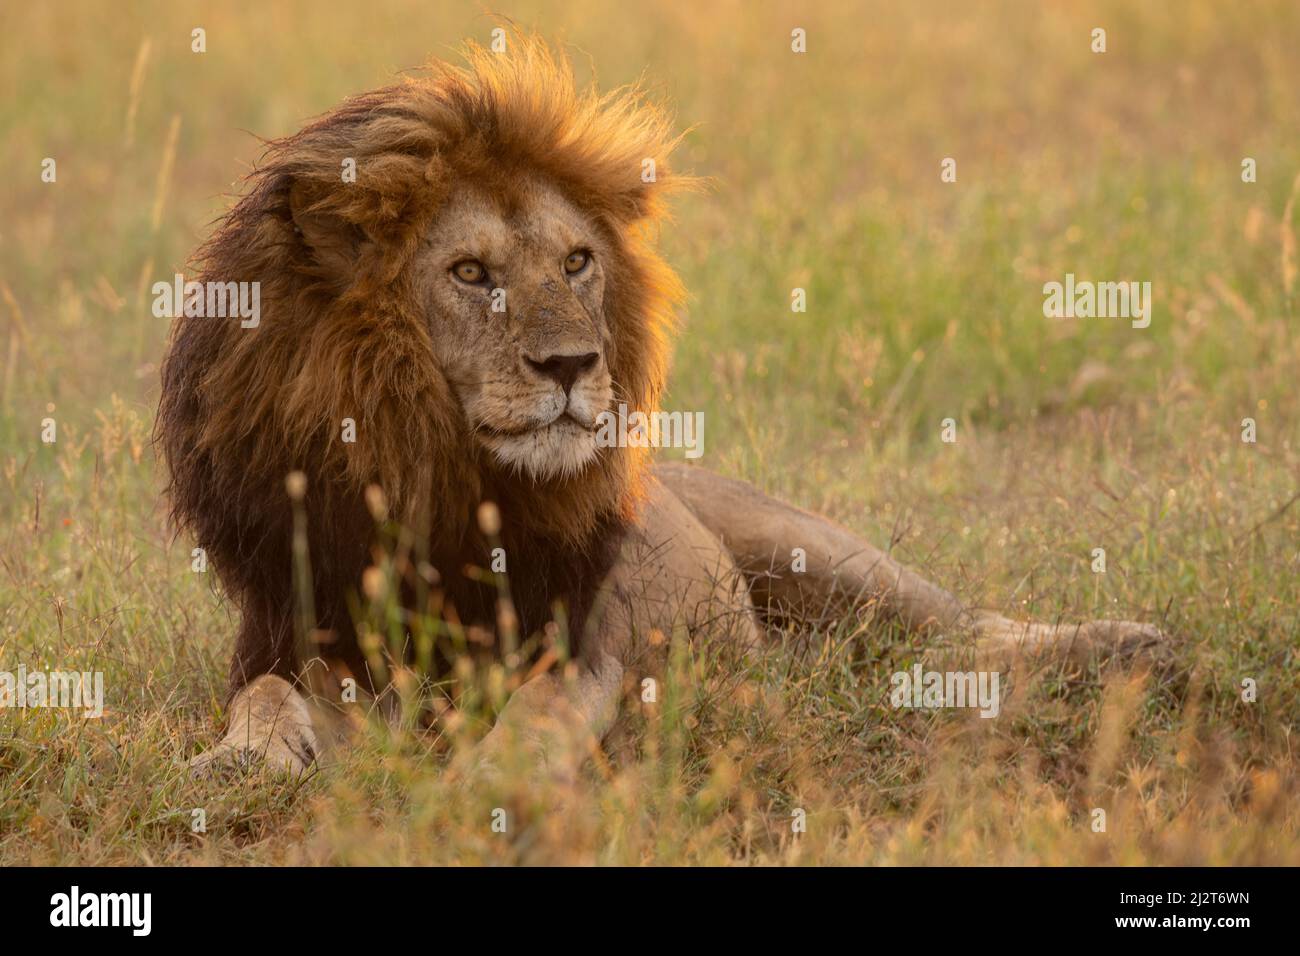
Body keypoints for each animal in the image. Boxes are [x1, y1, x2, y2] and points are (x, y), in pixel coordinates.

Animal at [159, 39, 1170, 785]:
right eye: (471, 273)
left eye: (576, 262)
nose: (573, 364)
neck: (433, 476)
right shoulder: (295, 627)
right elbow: (264, 696)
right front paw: (241, 758)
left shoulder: (573, 645)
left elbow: (533, 719)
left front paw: (485, 785)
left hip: (826, 556)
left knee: (972, 628)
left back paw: (1126, 645)